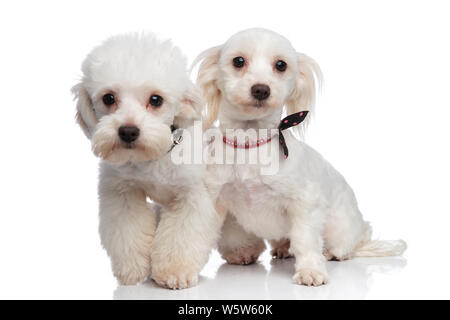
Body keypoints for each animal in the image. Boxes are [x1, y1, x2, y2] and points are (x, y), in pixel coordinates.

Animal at [72, 33, 223, 288]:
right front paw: (132, 269)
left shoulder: (191, 196)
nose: (128, 131)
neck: (154, 157)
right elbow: (128, 231)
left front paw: (175, 271)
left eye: (156, 100)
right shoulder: (122, 192)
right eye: (108, 98)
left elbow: (182, 236)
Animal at [195, 28, 406, 286]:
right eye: (238, 61)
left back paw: (331, 252)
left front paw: (310, 270)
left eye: (281, 65)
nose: (261, 89)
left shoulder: (305, 203)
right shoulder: (216, 199)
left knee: (342, 248)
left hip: (339, 229)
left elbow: (305, 239)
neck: (251, 143)